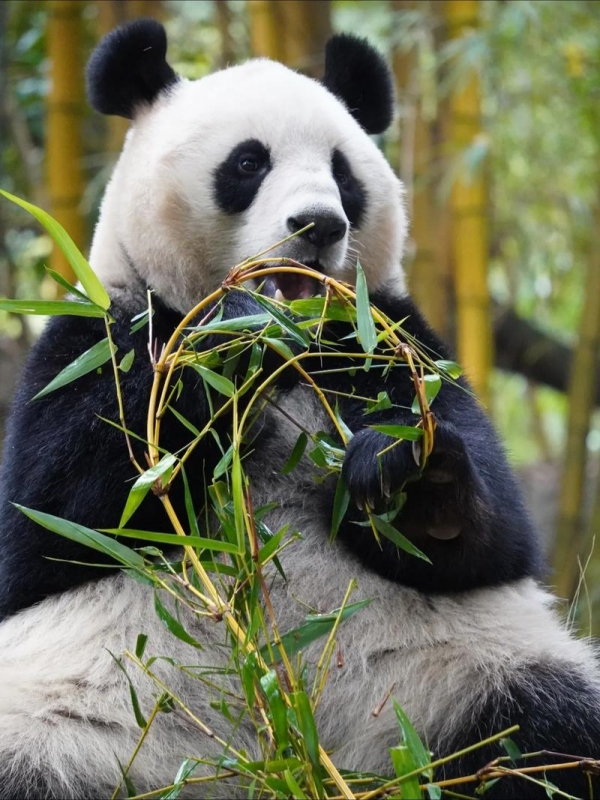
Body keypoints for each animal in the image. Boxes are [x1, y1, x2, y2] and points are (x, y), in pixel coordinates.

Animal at [0, 18, 599, 800]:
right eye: (248, 162)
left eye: (344, 173)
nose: (318, 224)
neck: (290, 364)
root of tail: (287, 757)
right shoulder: (104, 333)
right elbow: (56, 512)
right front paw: (234, 331)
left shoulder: (393, 343)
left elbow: (493, 539)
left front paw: (416, 472)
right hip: (78, 720)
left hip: (461, 679)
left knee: (549, 729)